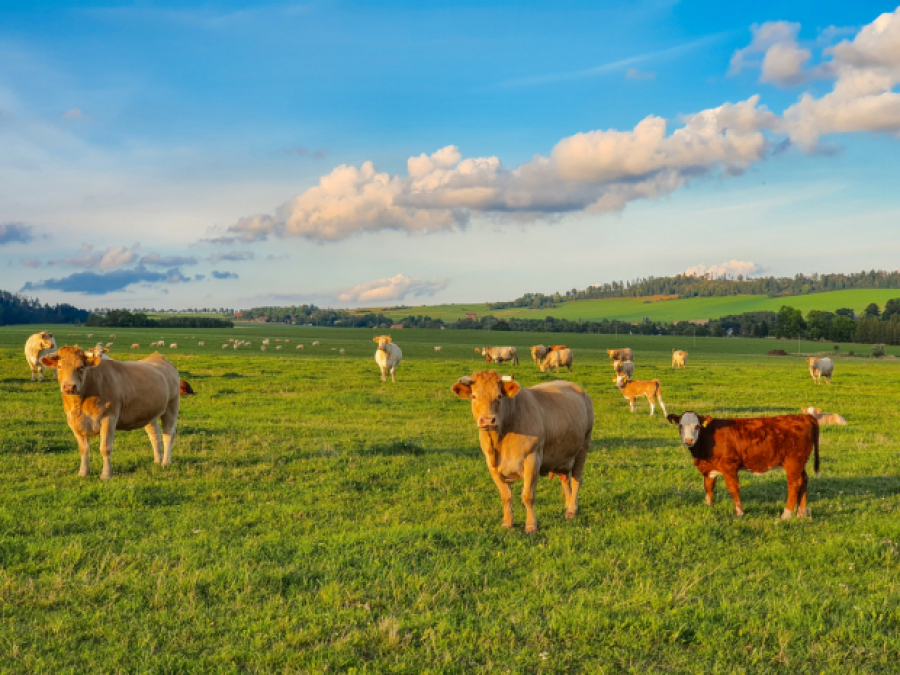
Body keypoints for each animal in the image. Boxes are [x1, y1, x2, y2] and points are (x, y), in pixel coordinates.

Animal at [40, 346, 185, 478]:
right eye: (59, 366)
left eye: (81, 367)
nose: (69, 387)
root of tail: (158, 357)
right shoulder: (74, 422)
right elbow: (83, 449)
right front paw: (83, 472)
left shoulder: (109, 418)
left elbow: (105, 448)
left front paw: (106, 474)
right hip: (149, 412)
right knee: (154, 435)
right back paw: (157, 460)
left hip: (172, 406)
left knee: (168, 434)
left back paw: (165, 462)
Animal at [454, 370, 596, 532]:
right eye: (474, 396)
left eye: (499, 396)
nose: (488, 420)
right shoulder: (492, 465)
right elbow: (506, 496)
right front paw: (507, 522)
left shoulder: (532, 459)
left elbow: (528, 496)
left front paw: (531, 525)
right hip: (563, 455)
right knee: (565, 479)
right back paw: (568, 506)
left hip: (583, 447)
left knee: (576, 479)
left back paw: (572, 509)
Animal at [664, 410, 820, 520]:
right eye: (680, 426)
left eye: (697, 426)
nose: (688, 440)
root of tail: (804, 417)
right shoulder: (710, 469)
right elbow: (708, 487)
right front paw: (708, 506)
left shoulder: (729, 466)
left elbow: (733, 489)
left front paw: (739, 513)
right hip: (800, 463)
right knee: (804, 481)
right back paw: (801, 513)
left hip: (793, 463)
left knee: (794, 485)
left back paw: (786, 515)